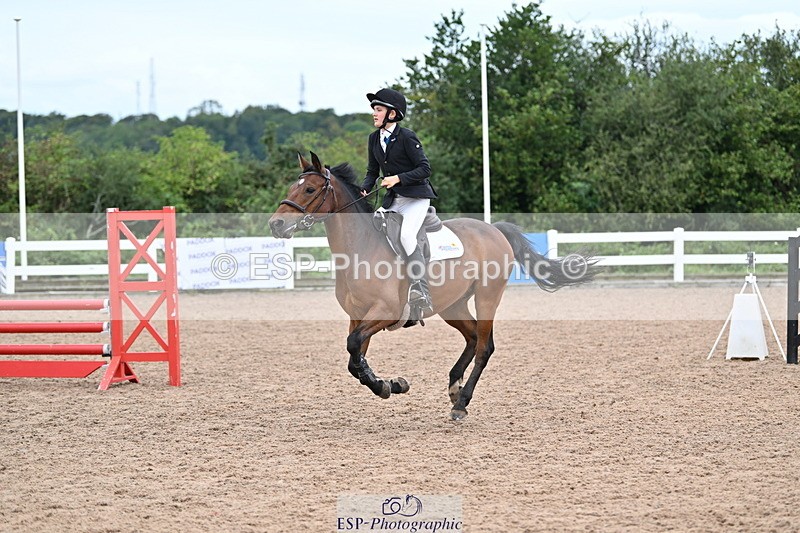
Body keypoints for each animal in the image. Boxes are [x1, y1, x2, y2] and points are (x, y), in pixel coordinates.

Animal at [269, 152, 598, 420]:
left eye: (309, 189)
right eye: (292, 188)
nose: (275, 224)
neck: (359, 248)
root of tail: (493, 229)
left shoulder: (385, 312)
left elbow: (353, 348)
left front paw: (387, 385)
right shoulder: (358, 315)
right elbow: (354, 358)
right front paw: (390, 385)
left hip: (487, 296)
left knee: (484, 346)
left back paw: (461, 403)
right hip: (452, 305)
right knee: (472, 337)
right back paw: (454, 386)